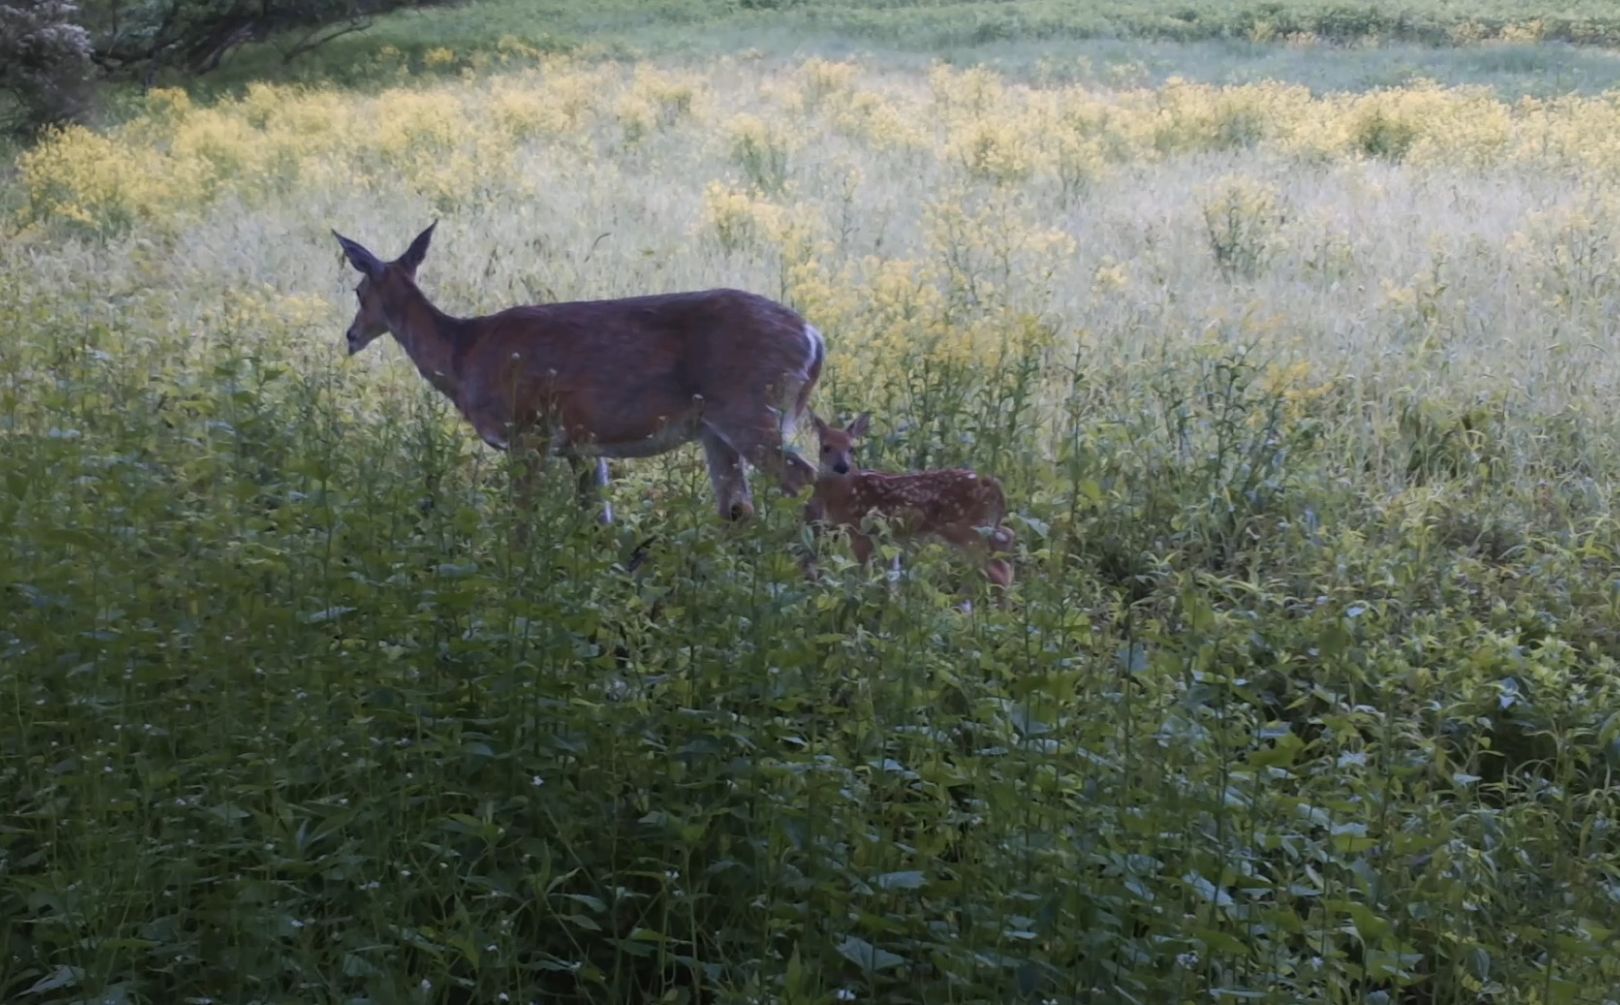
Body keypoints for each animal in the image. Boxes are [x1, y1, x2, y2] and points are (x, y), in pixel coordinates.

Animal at [336, 222, 829, 525]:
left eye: (358, 290)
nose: (350, 335)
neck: (463, 353)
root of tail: (814, 338)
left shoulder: (528, 429)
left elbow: (522, 517)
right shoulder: (584, 445)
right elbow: (598, 521)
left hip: (751, 409)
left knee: (807, 481)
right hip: (717, 429)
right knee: (738, 508)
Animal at [806, 414, 1017, 593]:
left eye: (851, 448)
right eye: (826, 447)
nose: (842, 466)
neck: (846, 490)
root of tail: (990, 482)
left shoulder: (861, 531)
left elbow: (862, 572)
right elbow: (890, 575)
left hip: (966, 528)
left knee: (1000, 570)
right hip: (983, 523)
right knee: (1007, 537)